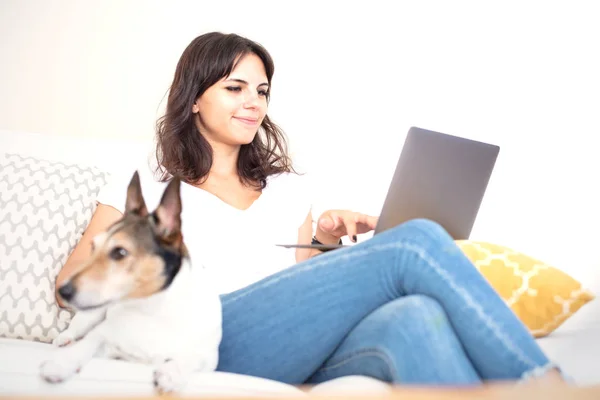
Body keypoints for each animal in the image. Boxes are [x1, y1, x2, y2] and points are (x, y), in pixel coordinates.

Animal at [39, 171, 223, 394]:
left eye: (119, 252)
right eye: (93, 247)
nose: (62, 290)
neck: (152, 309)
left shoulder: (208, 360)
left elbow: (190, 360)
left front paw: (172, 373)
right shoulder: (105, 340)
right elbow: (87, 343)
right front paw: (62, 363)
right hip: (91, 314)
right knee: (76, 330)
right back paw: (64, 340)